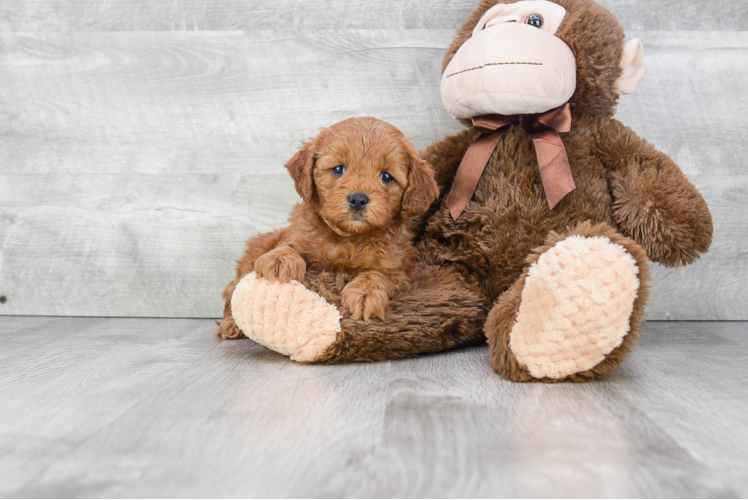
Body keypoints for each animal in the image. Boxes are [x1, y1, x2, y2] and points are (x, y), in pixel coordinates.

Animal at [248, 116, 442, 320]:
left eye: (386, 177)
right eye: (339, 169)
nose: (358, 199)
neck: (348, 239)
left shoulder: (399, 271)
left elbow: (378, 274)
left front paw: (365, 293)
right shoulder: (299, 234)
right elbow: (287, 244)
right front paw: (279, 259)